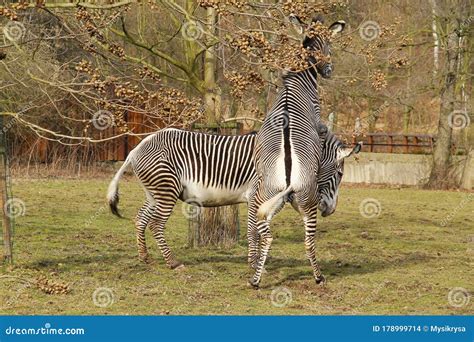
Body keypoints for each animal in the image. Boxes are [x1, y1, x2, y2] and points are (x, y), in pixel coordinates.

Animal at [107, 125, 360, 270]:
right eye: (340, 174)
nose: (330, 210)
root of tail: (138, 147)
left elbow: (256, 231)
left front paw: (256, 264)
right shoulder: (257, 195)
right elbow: (253, 232)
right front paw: (255, 265)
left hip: (155, 192)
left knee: (140, 219)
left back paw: (145, 258)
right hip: (165, 190)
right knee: (156, 224)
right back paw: (173, 263)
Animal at [248, 16, 348, 288]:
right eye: (330, 47)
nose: (329, 71)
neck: (297, 80)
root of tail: (289, 177)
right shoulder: (320, 124)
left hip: (266, 198)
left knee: (266, 235)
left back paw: (255, 279)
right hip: (308, 204)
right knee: (308, 242)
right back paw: (318, 277)